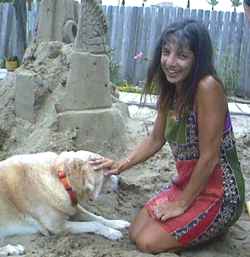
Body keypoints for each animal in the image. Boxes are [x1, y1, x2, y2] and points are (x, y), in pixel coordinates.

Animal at [0, 150, 129, 254]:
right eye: (107, 172)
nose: (120, 181)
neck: (61, 178)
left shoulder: (72, 207)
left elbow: (97, 218)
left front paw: (117, 223)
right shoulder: (57, 226)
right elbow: (94, 224)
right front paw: (112, 232)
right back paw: (12, 249)